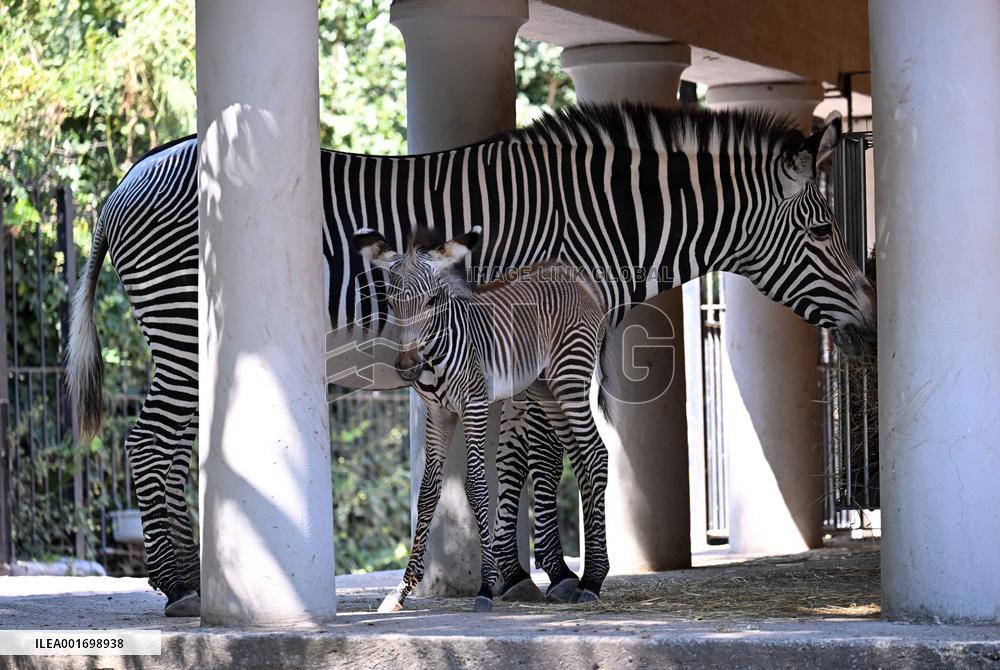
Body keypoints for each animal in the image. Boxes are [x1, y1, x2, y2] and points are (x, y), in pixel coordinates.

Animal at [353, 226, 609, 612]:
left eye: (431, 302)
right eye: (392, 304)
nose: (408, 366)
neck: (435, 354)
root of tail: (570, 273)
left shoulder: (473, 405)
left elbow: (475, 486)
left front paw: (487, 587)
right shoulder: (438, 413)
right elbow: (427, 493)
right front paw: (401, 590)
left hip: (570, 376)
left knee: (596, 454)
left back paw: (593, 580)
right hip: (545, 388)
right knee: (580, 459)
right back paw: (583, 578)